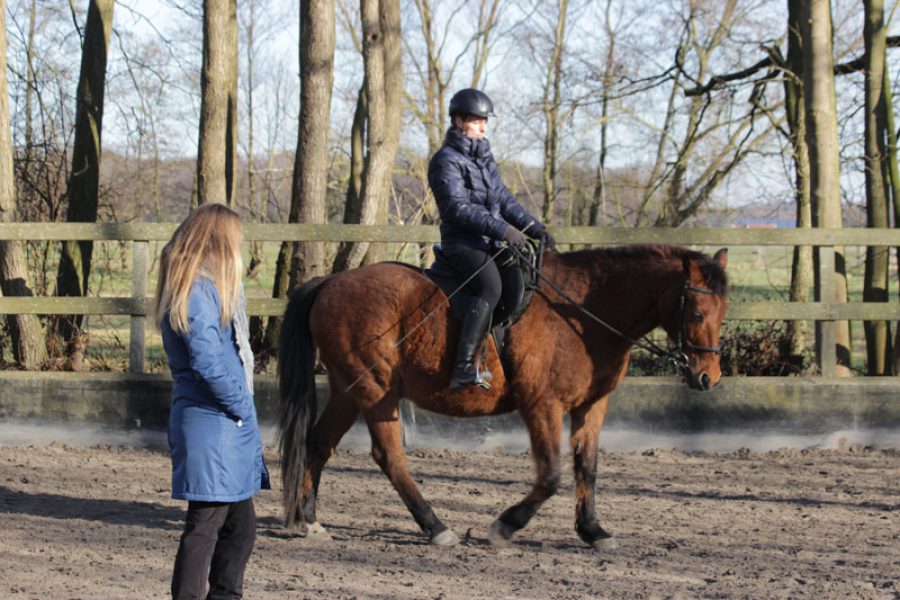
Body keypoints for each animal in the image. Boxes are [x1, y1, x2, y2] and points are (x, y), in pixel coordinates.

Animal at [278, 243, 728, 548]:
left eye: (723, 314)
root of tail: (330, 281)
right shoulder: (542, 405)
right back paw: (436, 527)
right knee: (389, 456)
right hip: (376, 390)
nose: (708, 376)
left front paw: (593, 530)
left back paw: (309, 520)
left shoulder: (592, 405)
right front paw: (504, 526)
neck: (582, 313)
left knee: (317, 443)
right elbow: (551, 474)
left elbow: (587, 468)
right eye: (696, 313)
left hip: (348, 389)